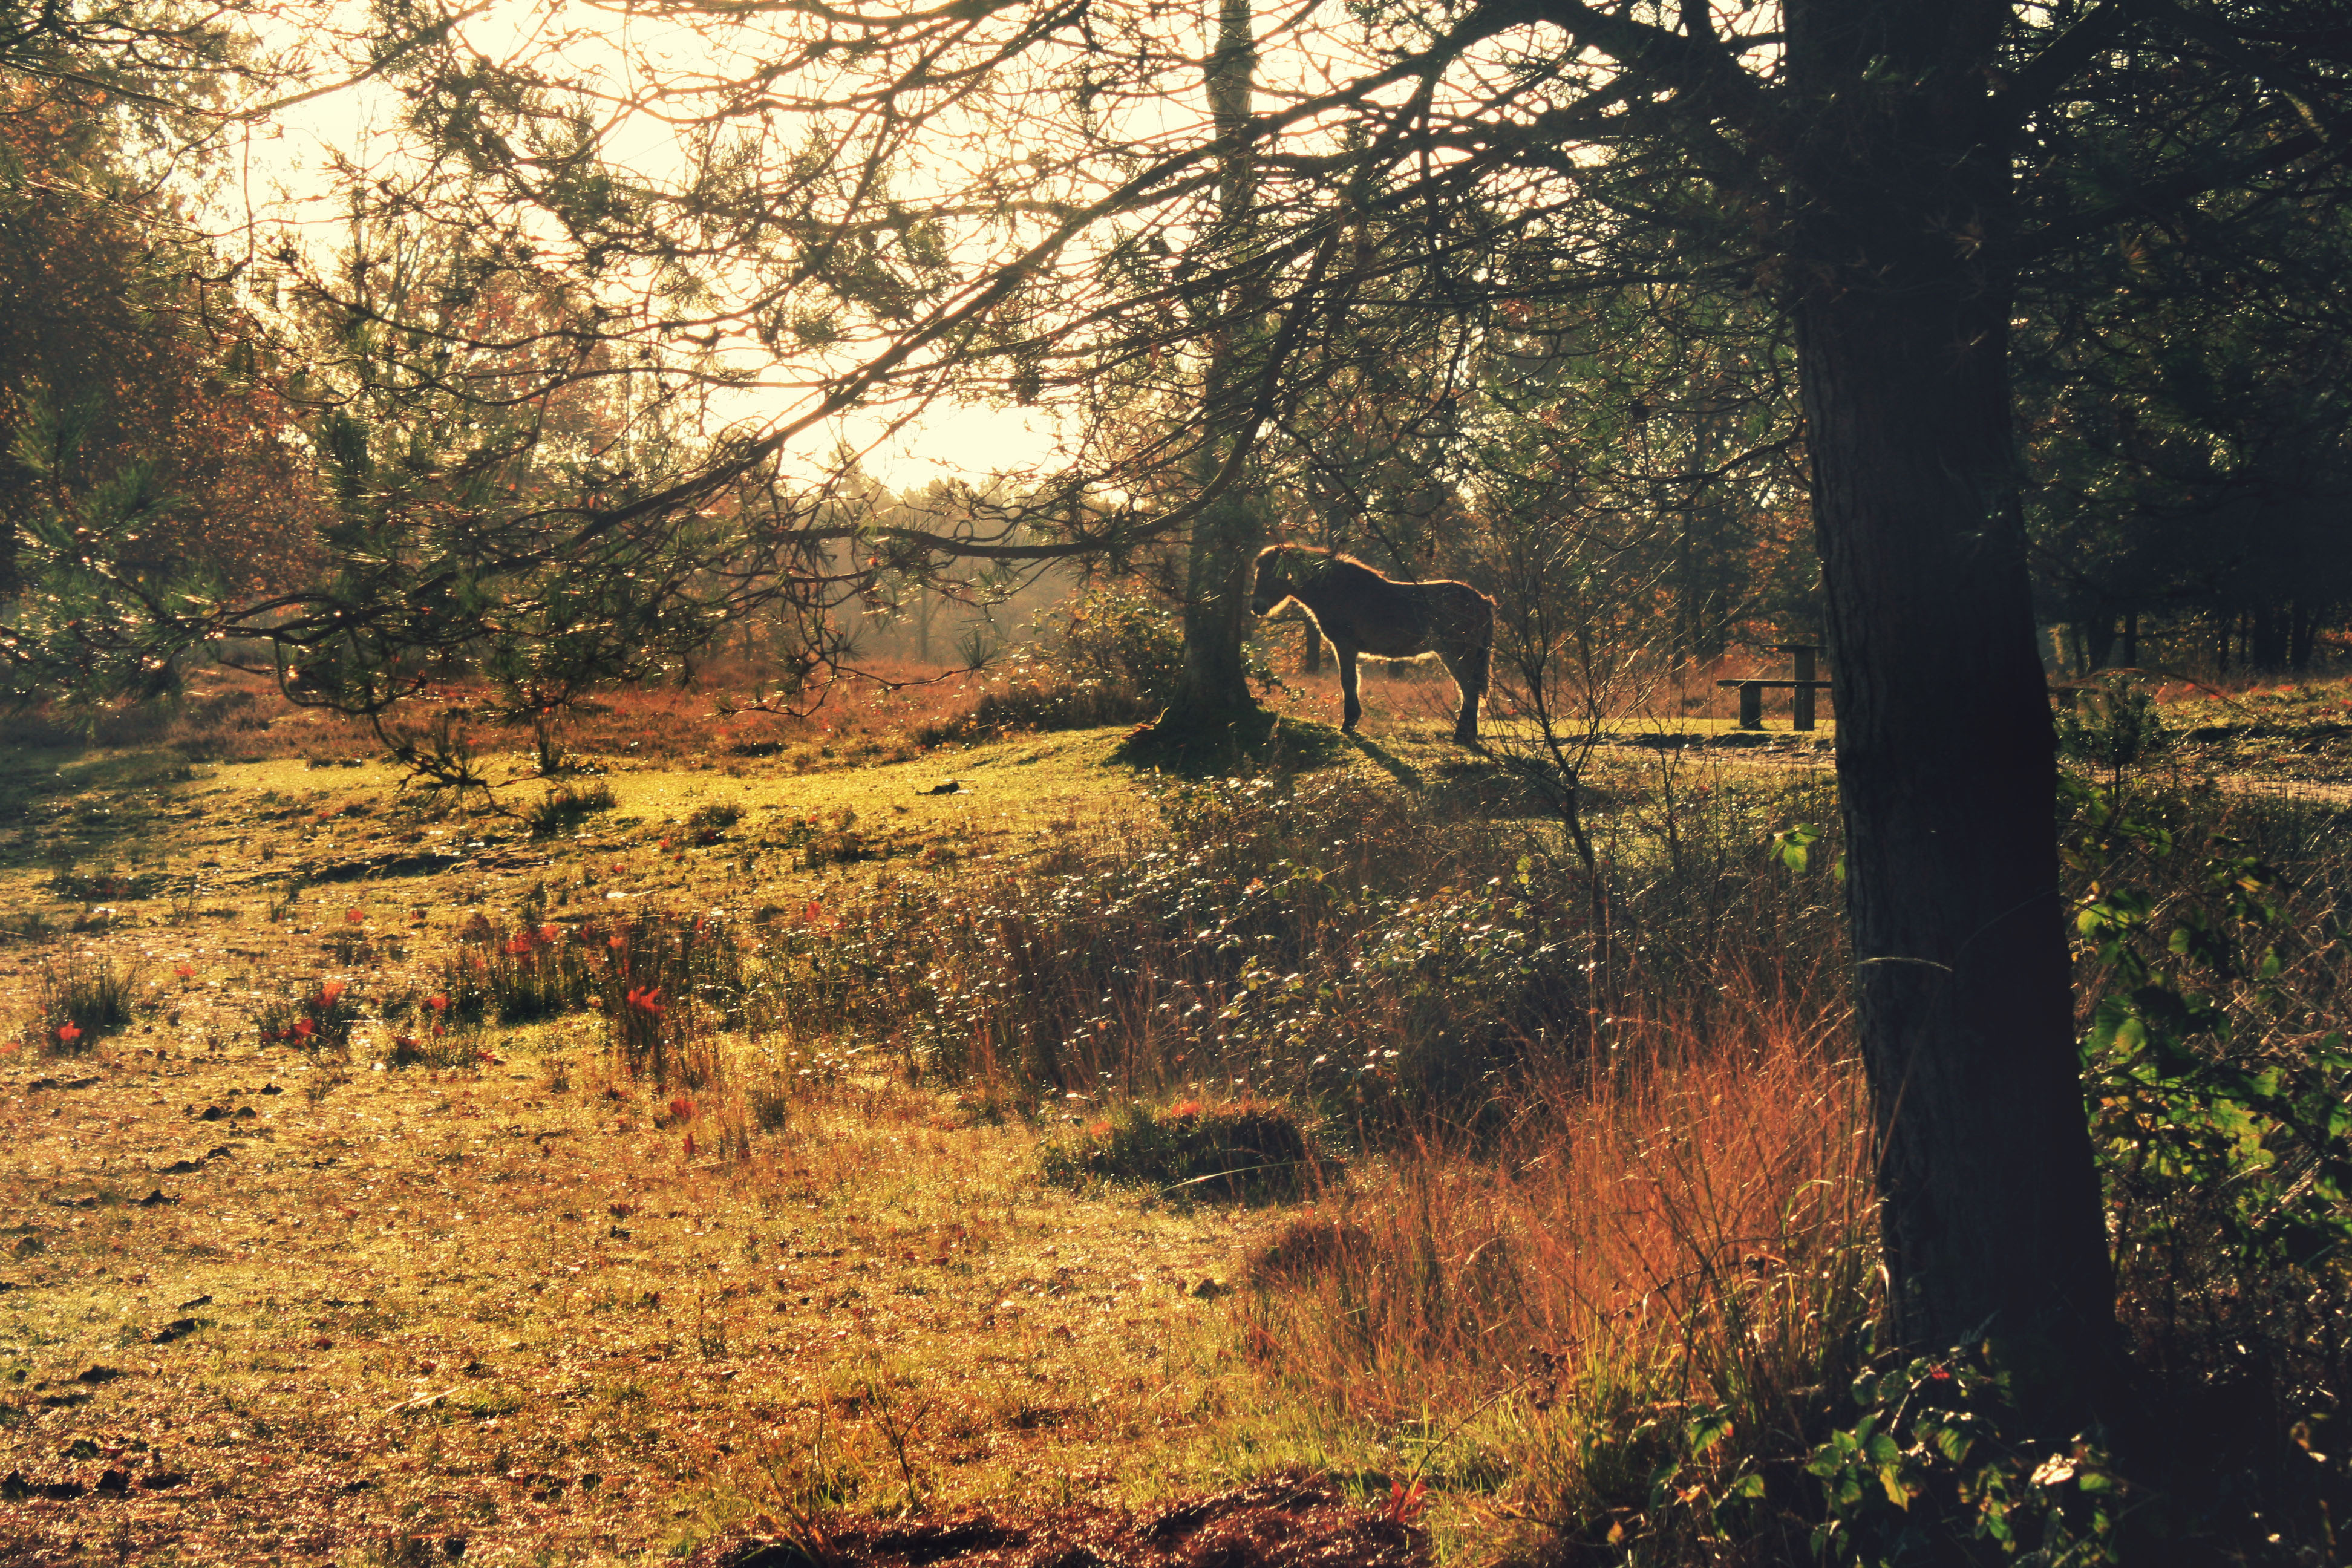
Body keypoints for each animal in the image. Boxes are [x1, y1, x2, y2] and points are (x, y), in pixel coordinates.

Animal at [1250, 544, 1494, 744]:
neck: (1339, 590)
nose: (1256, 607)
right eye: (1258, 574)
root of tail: (1481, 599)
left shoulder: (1345, 646)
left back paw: (1462, 735)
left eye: (1272, 575)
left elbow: (1348, 681)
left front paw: (1349, 723)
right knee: (1470, 690)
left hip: (1457, 654)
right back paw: (1468, 734)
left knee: (1469, 689)